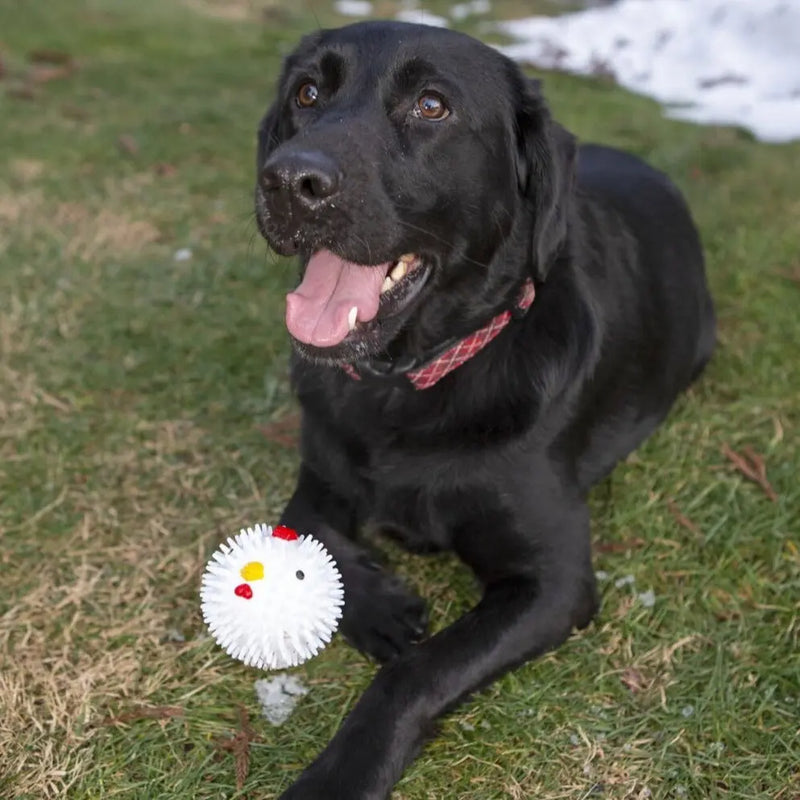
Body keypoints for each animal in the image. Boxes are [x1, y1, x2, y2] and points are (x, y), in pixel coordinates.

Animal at [253, 20, 716, 800]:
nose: (289, 180)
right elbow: (304, 522)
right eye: (307, 93)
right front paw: (382, 606)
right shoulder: (320, 468)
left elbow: (418, 672)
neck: (405, 383)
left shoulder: (554, 582)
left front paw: (338, 777)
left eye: (432, 106)